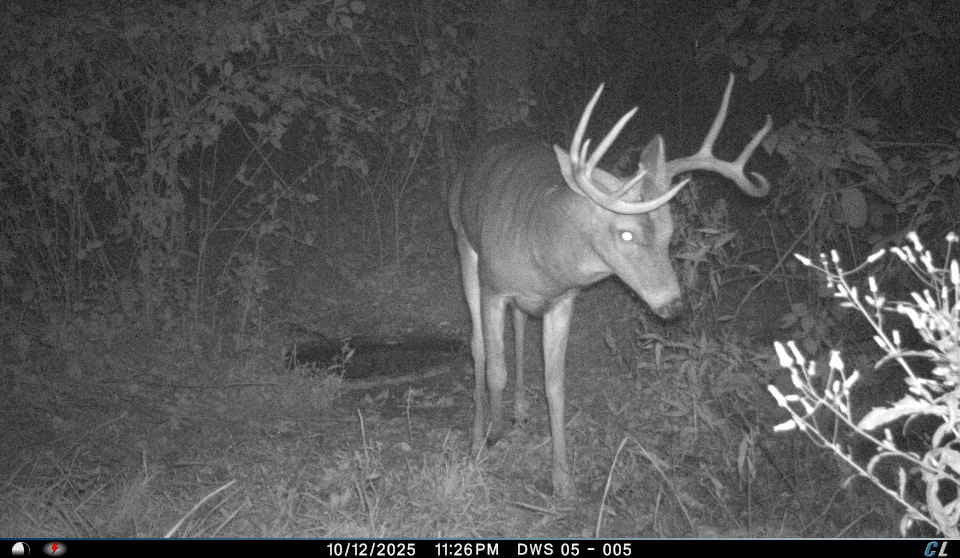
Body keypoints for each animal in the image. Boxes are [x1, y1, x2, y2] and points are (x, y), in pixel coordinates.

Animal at [449, 74, 772, 500]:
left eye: (670, 232)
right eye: (626, 234)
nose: (673, 306)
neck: (541, 247)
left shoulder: (562, 300)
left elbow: (555, 383)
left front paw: (562, 480)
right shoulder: (494, 286)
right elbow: (493, 367)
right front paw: (489, 440)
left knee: (518, 328)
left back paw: (520, 411)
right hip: (464, 243)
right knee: (478, 347)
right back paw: (481, 433)